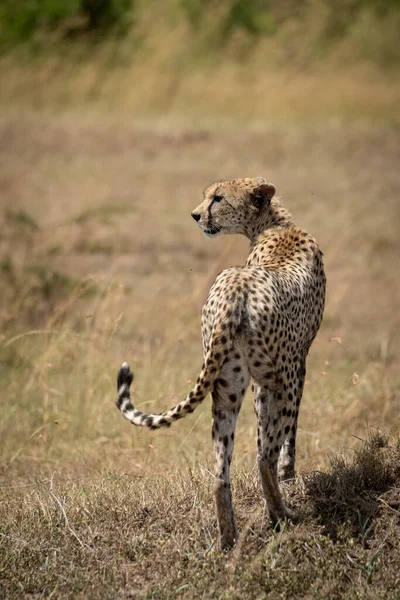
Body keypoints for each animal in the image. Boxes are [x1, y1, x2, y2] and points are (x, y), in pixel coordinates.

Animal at [116, 177, 324, 548]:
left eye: (218, 198)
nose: (195, 215)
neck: (273, 225)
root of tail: (234, 290)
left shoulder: (259, 383)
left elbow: (260, 428)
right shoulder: (296, 365)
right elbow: (285, 436)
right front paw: (290, 476)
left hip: (226, 385)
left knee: (219, 474)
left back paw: (229, 539)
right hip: (282, 379)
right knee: (264, 457)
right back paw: (282, 515)